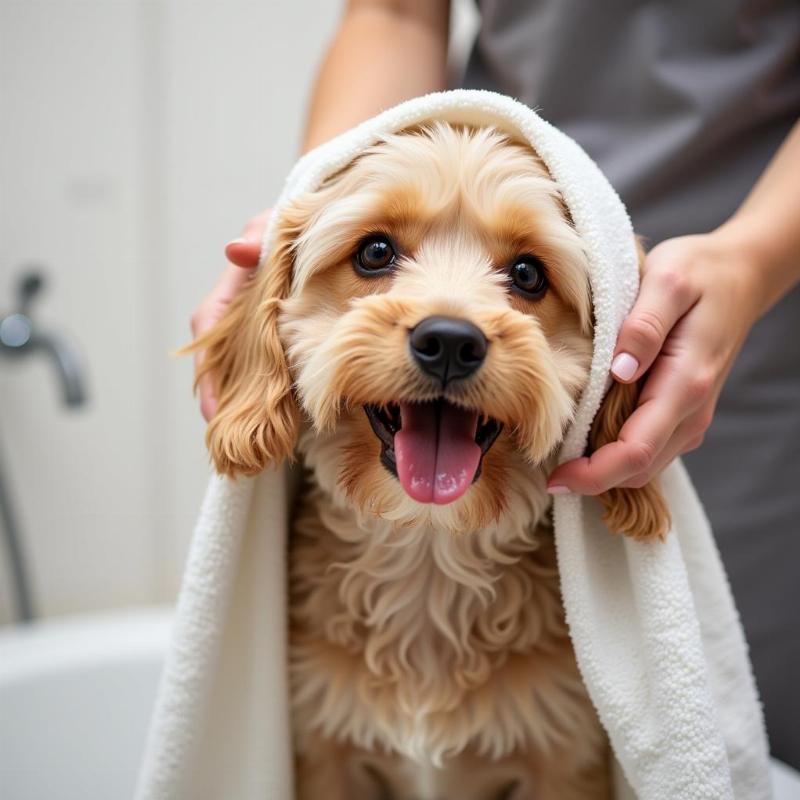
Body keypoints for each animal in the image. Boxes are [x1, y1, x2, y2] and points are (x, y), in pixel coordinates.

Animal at [192, 122, 668, 800]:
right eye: (374, 252)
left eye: (528, 273)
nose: (449, 340)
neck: (428, 557)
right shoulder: (324, 748)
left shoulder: (567, 756)